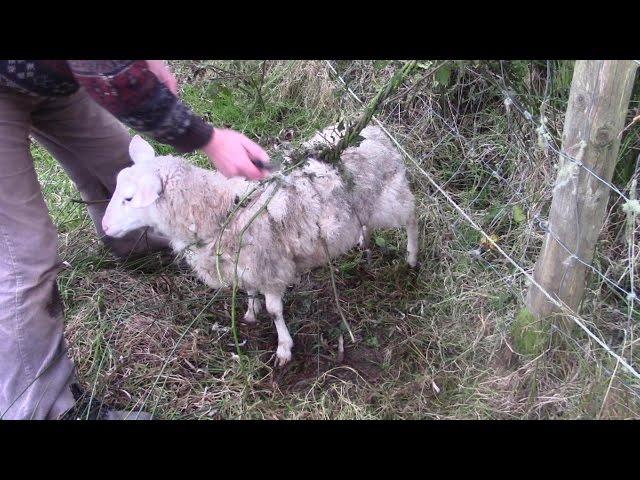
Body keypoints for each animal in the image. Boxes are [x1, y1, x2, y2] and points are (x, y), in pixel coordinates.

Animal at [102, 125, 418, 366]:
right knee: (369, 223)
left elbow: (274, 310)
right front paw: (250, 314)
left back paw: (412, 257)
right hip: (363, 206)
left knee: (412, 217)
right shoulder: (246, 264)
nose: (104, 228)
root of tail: (375, 131)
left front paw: (284, 348)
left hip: (389, 197)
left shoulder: (271, 267)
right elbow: (250, 291)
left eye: (129, 198)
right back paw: (364, 242)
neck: (221, 210)